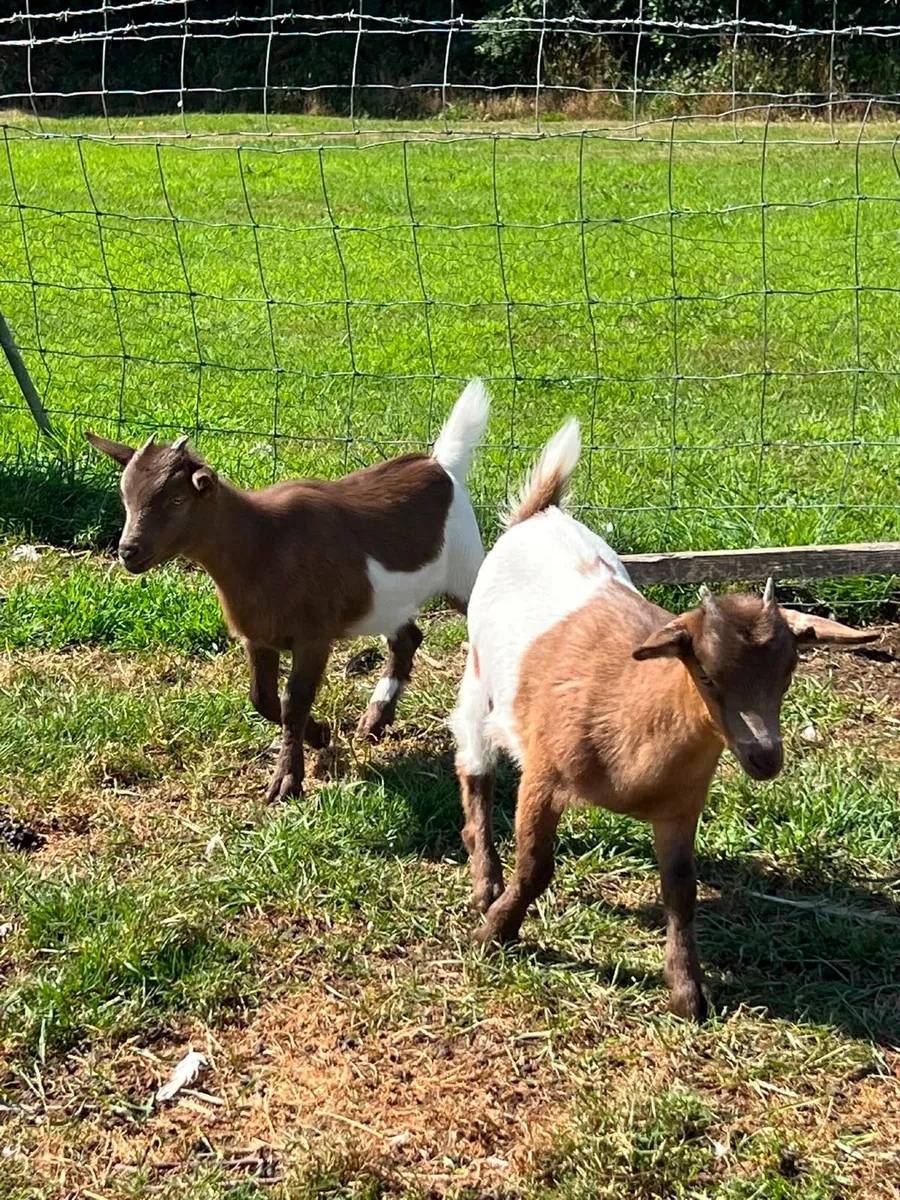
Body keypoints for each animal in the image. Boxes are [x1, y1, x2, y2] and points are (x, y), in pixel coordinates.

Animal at [86, 380, 490, 802]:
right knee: (407, 639)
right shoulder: (257, 636)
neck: (263, 543)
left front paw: (286, 781)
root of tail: (441, 467)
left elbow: (293, 702)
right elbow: (263, 699)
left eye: (177, 500)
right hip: (387, 602)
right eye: (125, 497)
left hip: (464, 568)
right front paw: (320, 734)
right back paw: (374, 720)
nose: (128, 551)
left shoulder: (313, 636)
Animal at [449, 419, 877, 1019]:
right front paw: (494, 933)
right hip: (479, 678)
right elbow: (535, 866)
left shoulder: (681, 805)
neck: (633, 711)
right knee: (475, 767)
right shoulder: (544, 776)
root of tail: (541, 514)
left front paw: (687, 991)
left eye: (790, 669)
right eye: (707, 674)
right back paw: (485, 880)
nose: (765, 757)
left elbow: (681, 890)